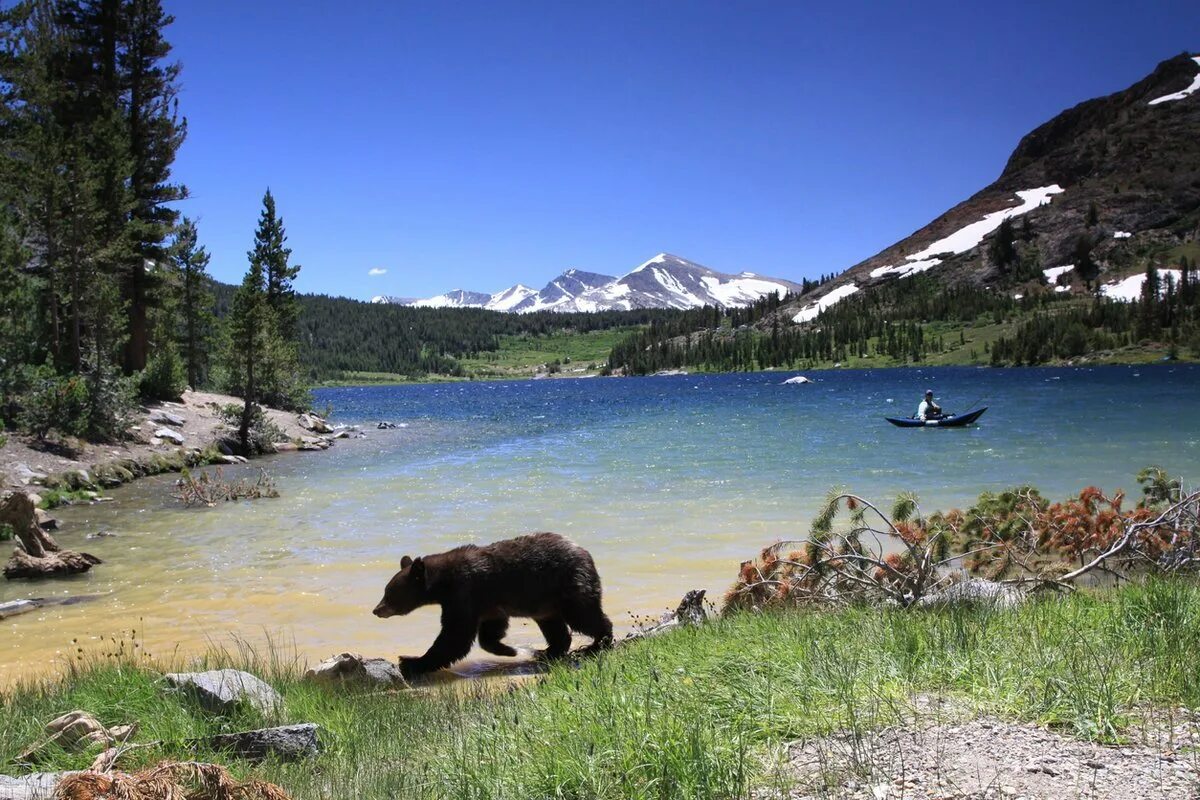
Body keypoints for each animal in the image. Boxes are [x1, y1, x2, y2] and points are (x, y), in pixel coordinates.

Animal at [372, 527, 619, 681]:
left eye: (389, 593)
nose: (376, 609)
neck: (443, 583)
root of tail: (585, 552)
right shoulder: (487, 603)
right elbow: (489, 630)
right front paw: (508, 649)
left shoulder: (464, 593)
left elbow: (455, 635)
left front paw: (411, 661)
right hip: (545, 603)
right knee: (555, 626)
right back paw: (547, 651)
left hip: (568, 584)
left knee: (583, 615)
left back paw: (597, 643)